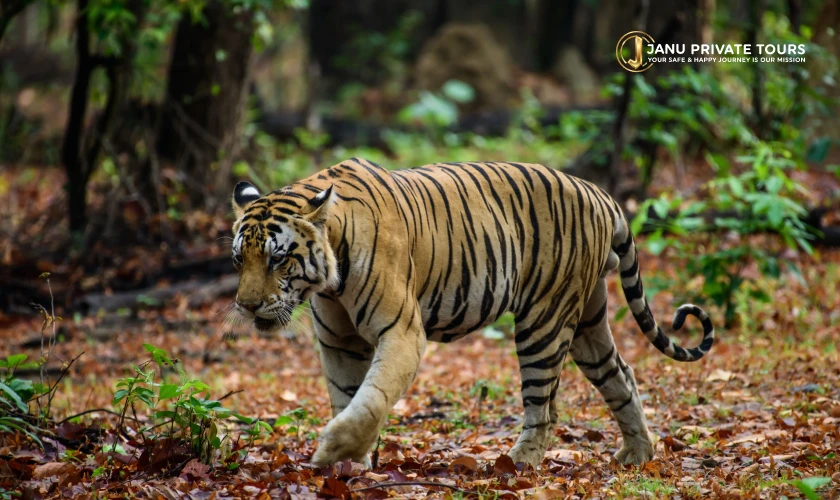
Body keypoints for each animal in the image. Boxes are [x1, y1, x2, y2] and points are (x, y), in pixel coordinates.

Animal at [230, 158, 715, 468]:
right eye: (239, 259)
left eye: (277, 259)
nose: (247, 306)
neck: (329, 277)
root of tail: (598, 192)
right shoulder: (339, 342)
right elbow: (347, 396)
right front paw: (349, 465)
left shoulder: (402, 332)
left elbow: (372, 397)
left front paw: (332, 451)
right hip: (587, 321)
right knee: (621, 375)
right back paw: (638, 454)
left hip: (544, 320)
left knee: (544, 407)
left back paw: (517, 464)